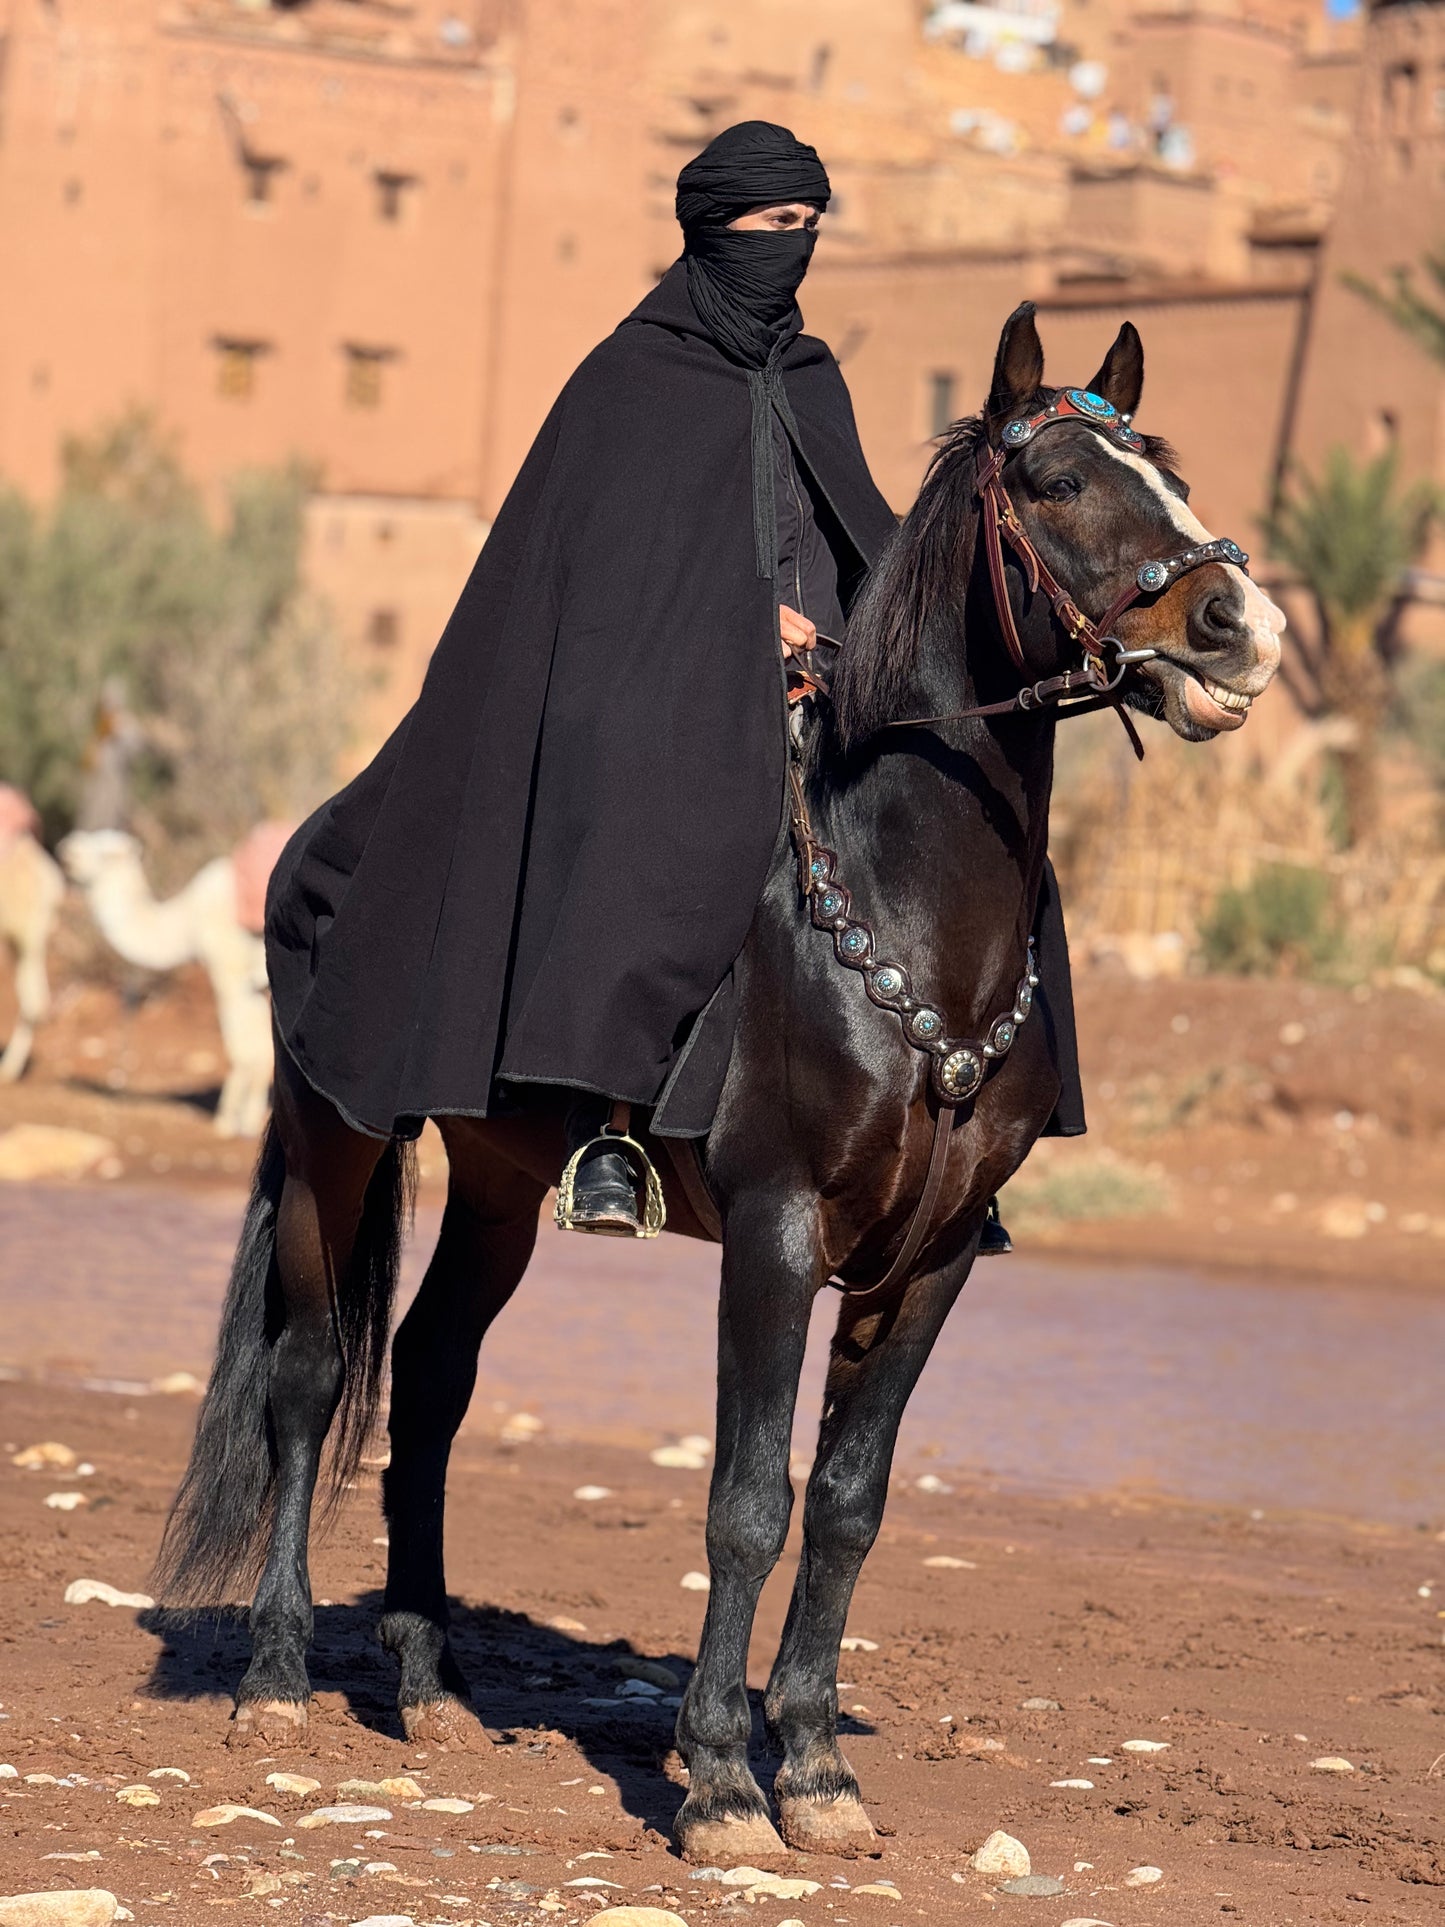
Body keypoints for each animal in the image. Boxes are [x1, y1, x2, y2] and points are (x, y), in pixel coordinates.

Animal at [154, 303, 1283, 1865]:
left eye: (1164, 471)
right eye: (1055, 480)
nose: (1241, 628)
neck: (904, 904)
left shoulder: (931, 1257)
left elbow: (854, 1501)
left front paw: (811, 1767)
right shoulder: (774, 1228)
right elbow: (748, 1498)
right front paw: (722, 1783)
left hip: (498, 1181)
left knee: (433, 1379)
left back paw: (432, 1686)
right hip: (338, 1135)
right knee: (312, 1374)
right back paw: (272, 1677)